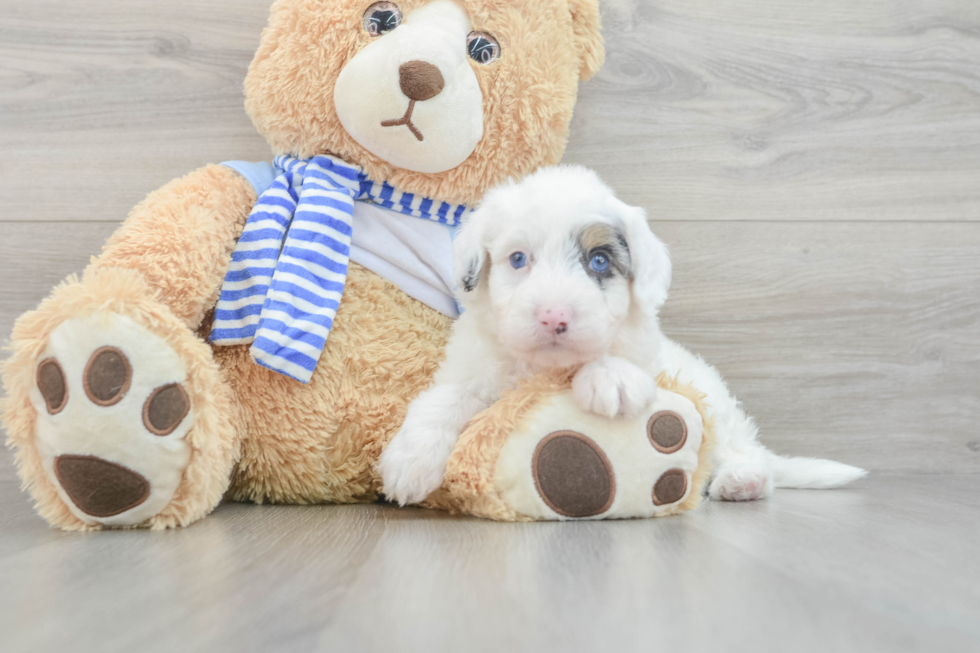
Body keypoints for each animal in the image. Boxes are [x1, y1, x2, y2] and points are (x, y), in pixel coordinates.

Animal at [378, 166, 864, 506]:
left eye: (598, 261)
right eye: (517, 259)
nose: (554, 317)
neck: (543, 368)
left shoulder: (643, 352)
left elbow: (619, 354)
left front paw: (609, 377)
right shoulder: (471, 368)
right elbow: (443, 399)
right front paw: (410, 462)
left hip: (717, 407)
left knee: (744, 451)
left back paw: (742, 480)